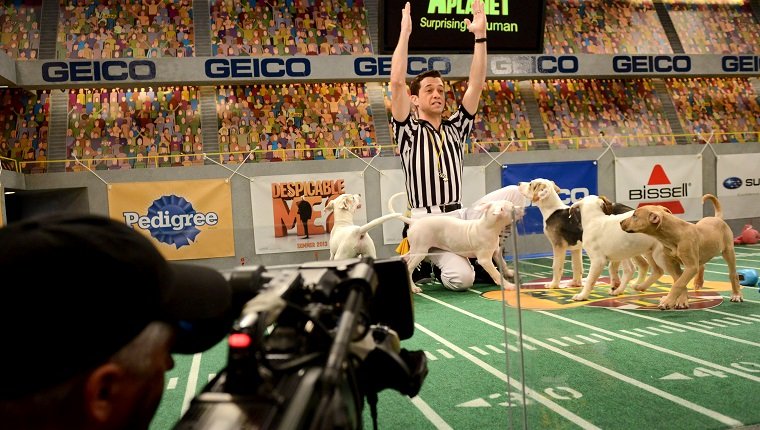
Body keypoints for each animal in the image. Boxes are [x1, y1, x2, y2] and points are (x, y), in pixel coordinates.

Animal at [616, 194, 744, 310]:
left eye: (635, 216)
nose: (620, 222)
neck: (674, 234)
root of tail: (717, 218)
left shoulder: (690, 267)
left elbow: (679, 284)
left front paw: (667, 302)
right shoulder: (672, 264)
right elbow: (679, 281)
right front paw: (681, 300)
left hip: (728, 251)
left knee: (733, 274)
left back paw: (736, 295)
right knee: (701, 265)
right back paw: (698, 282)